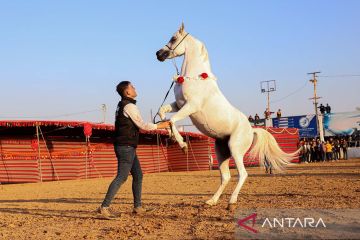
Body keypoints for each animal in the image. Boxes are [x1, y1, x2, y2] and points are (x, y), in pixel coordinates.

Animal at [156, 23, 296, 209]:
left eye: (173, 38)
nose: (158, 54)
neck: (195, 78)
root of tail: (251, 130)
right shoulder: (178, 105)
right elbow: (163, 113)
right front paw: (171, 136)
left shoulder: (190, 106)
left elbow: (172, 120)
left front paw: (183, 145)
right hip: (221, 153)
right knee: (226, 177)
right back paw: (211, 201)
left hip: (235, 149)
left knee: (242, 174)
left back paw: (231, 202)